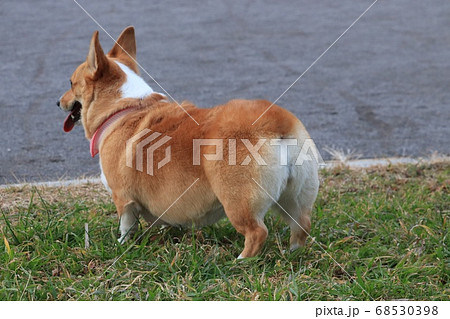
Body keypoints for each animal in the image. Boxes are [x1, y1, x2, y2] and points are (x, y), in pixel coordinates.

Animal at [58, 26, 318, 258]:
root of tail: (278, 122)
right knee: (301, 225)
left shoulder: (123, 198)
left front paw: (121, 246)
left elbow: (126, 226)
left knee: (257, 233)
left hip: (237, 200)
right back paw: (292, 254)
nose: (57, 102)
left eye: (70, 83)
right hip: (294, 197)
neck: (124, 107)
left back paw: (239, 262)